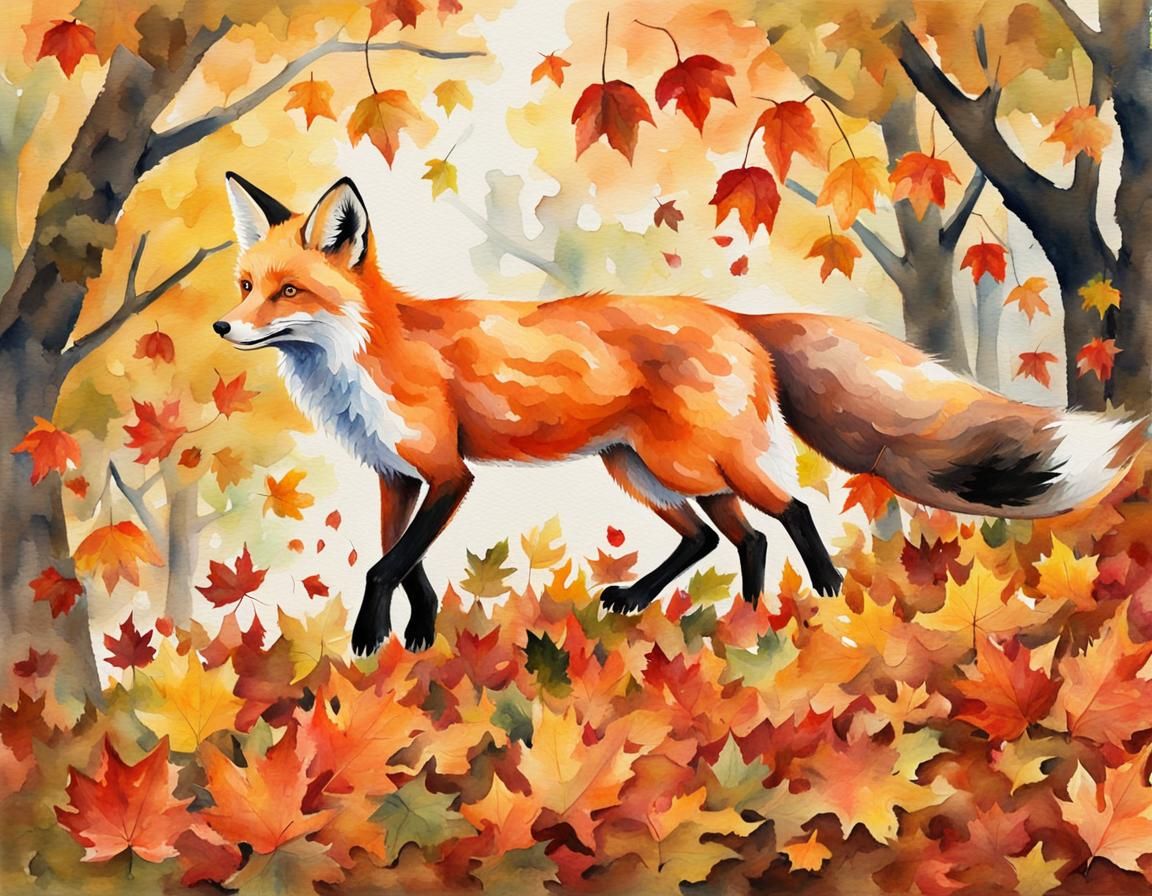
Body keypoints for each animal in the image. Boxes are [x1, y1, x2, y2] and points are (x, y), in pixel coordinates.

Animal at [216, 173, 1146, 655]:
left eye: (289, 292)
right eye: (246, 284)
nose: (225, 328)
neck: (365, 354)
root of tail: (735, 317)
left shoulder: (449, 474)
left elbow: (385, 566)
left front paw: (372, 638)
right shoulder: (397, 478)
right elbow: (402, 562)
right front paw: (417, 638)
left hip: (694, 463)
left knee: (787, 514)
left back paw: (825, 599)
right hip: (647, 471)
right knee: (728, 538)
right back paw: (731, 617)